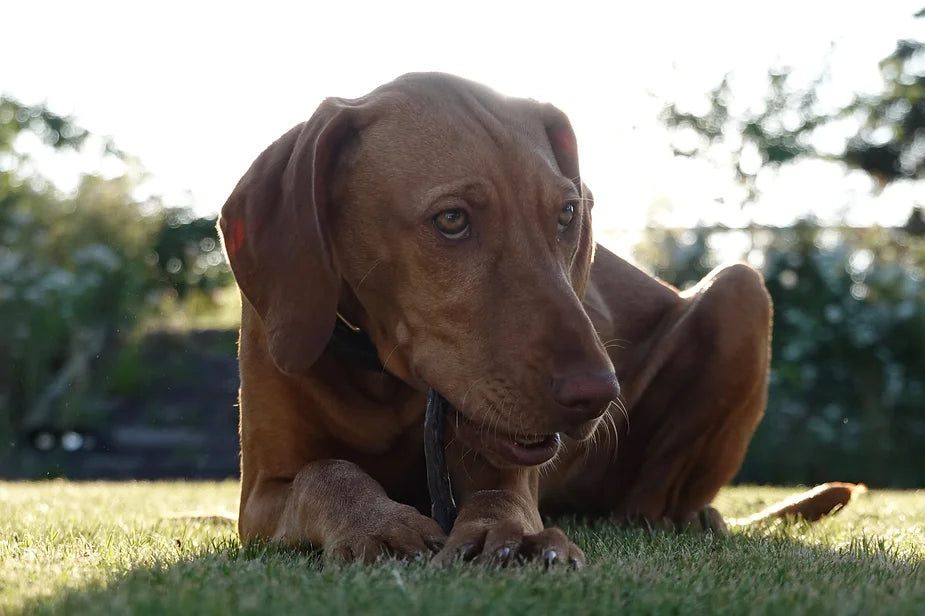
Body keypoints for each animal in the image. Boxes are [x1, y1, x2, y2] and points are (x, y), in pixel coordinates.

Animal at [218, 70, 860, 564]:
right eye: (452, 220)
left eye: (567, 213)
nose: (598, 396)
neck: (380, 376)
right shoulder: (261, 494)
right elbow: (323, 474)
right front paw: (377, 524)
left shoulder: (504, 460)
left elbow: (503, 496)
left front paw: (508, 534)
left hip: (741, 291)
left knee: (649, 504)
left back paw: (689, 520)